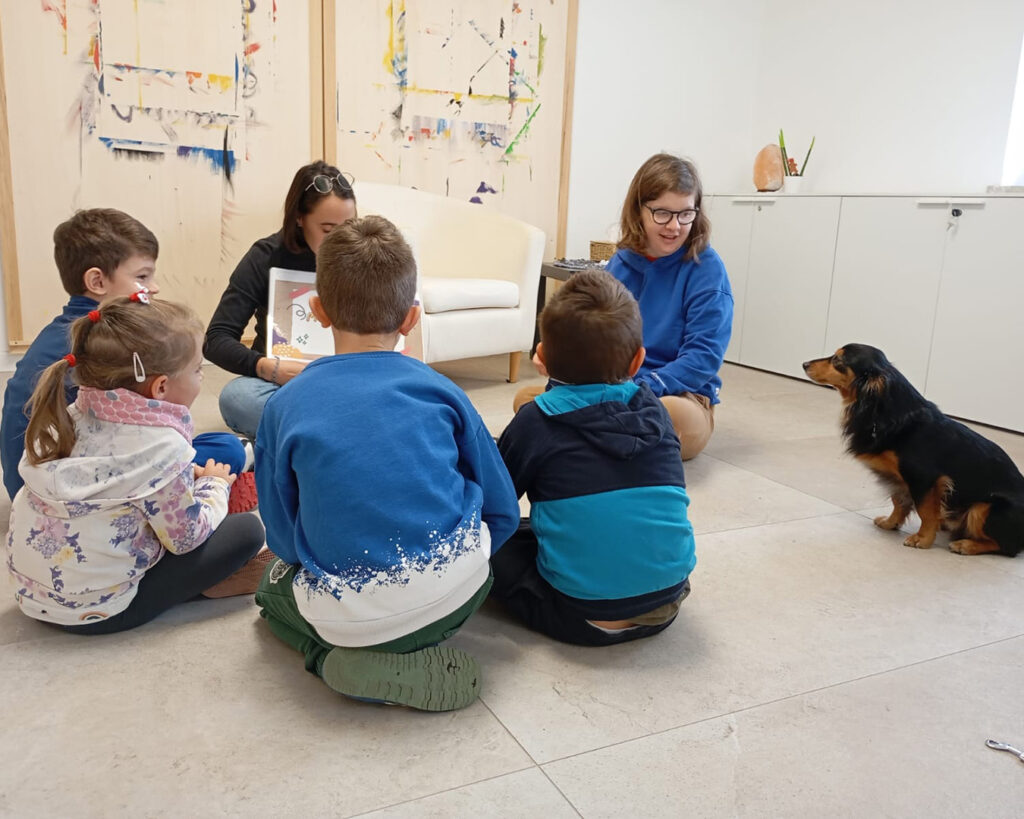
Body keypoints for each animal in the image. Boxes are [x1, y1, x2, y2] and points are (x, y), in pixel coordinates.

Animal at [802, 339, 1019, 556]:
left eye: (838, 360)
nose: (804, 364)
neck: (891, 416)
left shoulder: (925, 478)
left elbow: (925, 512)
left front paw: (922, 539)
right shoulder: (897, 477)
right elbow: (898, 501)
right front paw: (891, 523)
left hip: (983, 508)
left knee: (1005, 547)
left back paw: (966, 544)